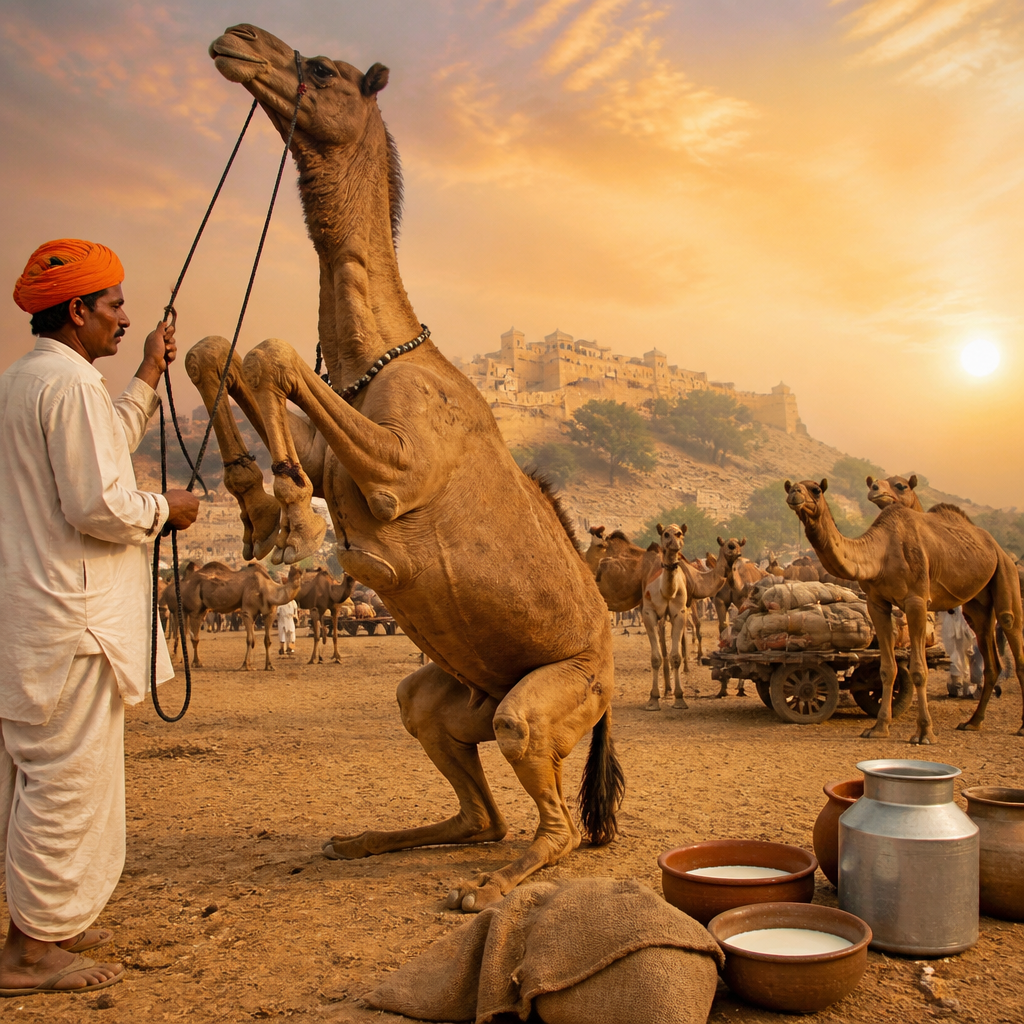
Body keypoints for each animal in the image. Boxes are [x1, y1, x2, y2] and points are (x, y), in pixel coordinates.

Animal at [188, 23, 622, 912]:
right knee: (471, 801)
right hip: (450, 696)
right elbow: (224, 348)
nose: (237, 39)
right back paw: (367, 839)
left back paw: (491, 886)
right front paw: (261, 506)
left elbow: (273, 352)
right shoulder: (339, 442)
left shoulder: (402, 473)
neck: (381, 358)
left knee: (550, 818)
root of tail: (612, 686)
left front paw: (287, 518)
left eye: (323, 68)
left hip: (550, 697)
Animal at [785, 479, 1024, 741]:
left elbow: (919, 670)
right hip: (978, 602)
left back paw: (1020, 727)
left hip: (1006, 571)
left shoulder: (916, 600)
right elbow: (887, 669)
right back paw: (973, 722)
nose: (795, 494)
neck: (881, 553)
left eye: (816, 490)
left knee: (1010, 623)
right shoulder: (876, 602)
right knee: (987, 648)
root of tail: (995, 545)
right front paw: (878, 728)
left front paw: (924, 732)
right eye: (791, 487)